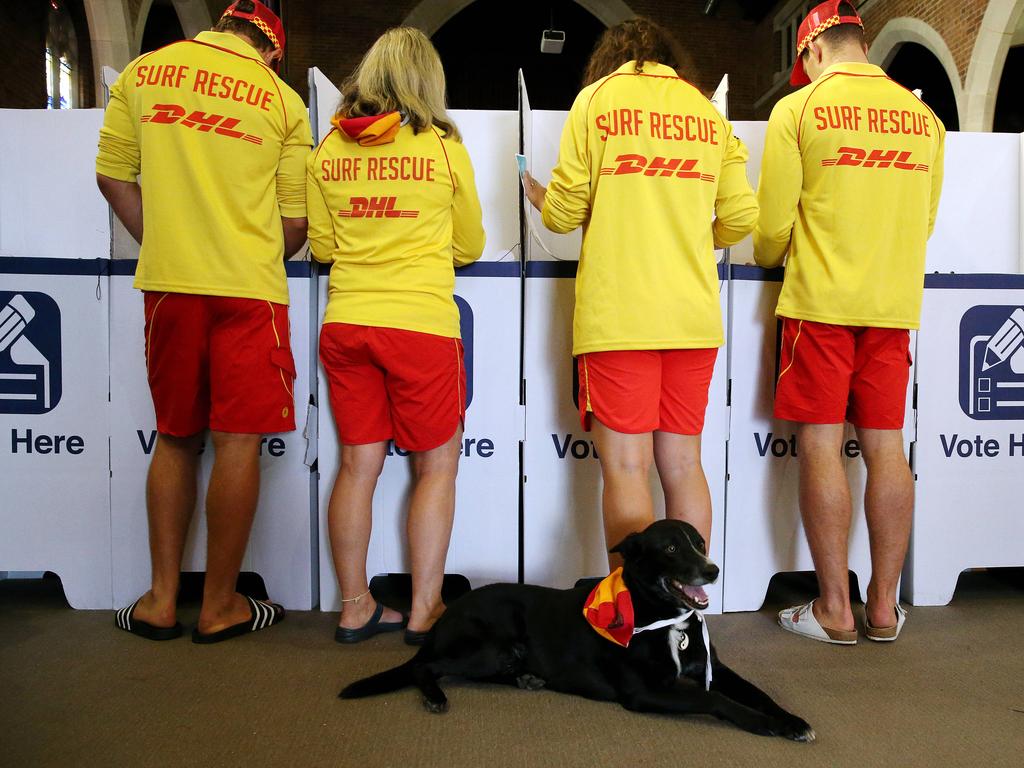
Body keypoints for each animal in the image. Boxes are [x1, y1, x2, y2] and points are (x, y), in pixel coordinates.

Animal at [344, 520, 815, 741]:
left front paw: (791, 720)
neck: (665, 617)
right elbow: (715, 699)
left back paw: (528, 678)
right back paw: (437, 696)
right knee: (425, 667)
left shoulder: (714, 668)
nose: (713, 570)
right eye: (669, 547)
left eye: (699, 542)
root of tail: (446, 613)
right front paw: (763, 724)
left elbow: (757, 691)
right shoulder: (644, 693)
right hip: (487, 645)